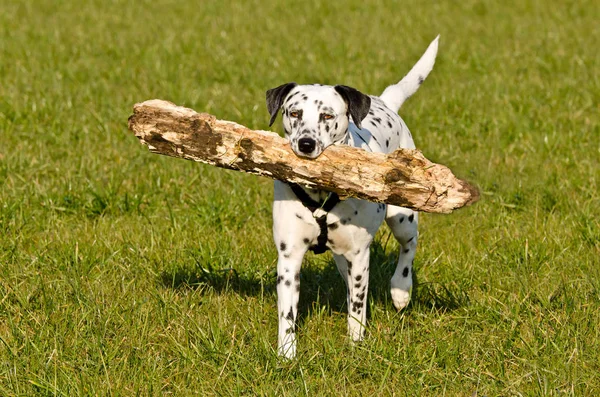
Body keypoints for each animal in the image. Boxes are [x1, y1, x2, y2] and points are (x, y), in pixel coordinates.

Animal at [268, 36, 440, 358]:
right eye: (294, 113)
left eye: (327, 115)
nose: (306, 143)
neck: (321, 196)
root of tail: (385, 101)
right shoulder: (289, 256)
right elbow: (288, 313)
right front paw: (286, 354)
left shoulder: (359, 255)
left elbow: (358, 307)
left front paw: (356, 344)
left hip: (402, 218)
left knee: (409, 246)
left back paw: (400, 289)